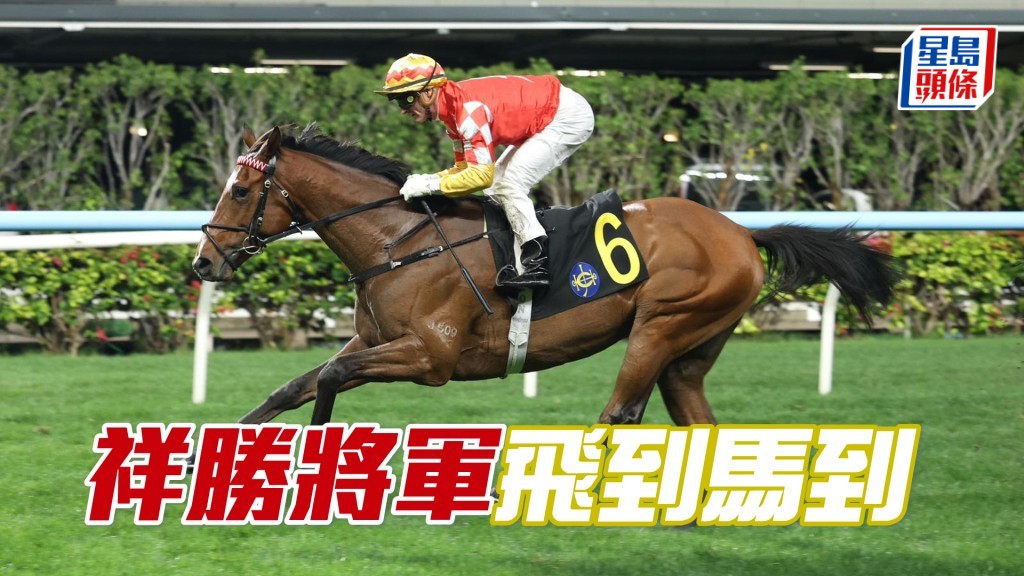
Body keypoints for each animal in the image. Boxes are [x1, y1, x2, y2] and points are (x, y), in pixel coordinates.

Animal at [193, 123, 898, 428]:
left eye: (241, 190)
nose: (204, 261)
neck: (401, 241)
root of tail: (741, 233)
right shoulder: (373, 340)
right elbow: (295, 385)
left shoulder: (430, 356)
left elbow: (330, 379)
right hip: (691, 349)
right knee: (696, 419)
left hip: (664, 322)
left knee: (622, 412)